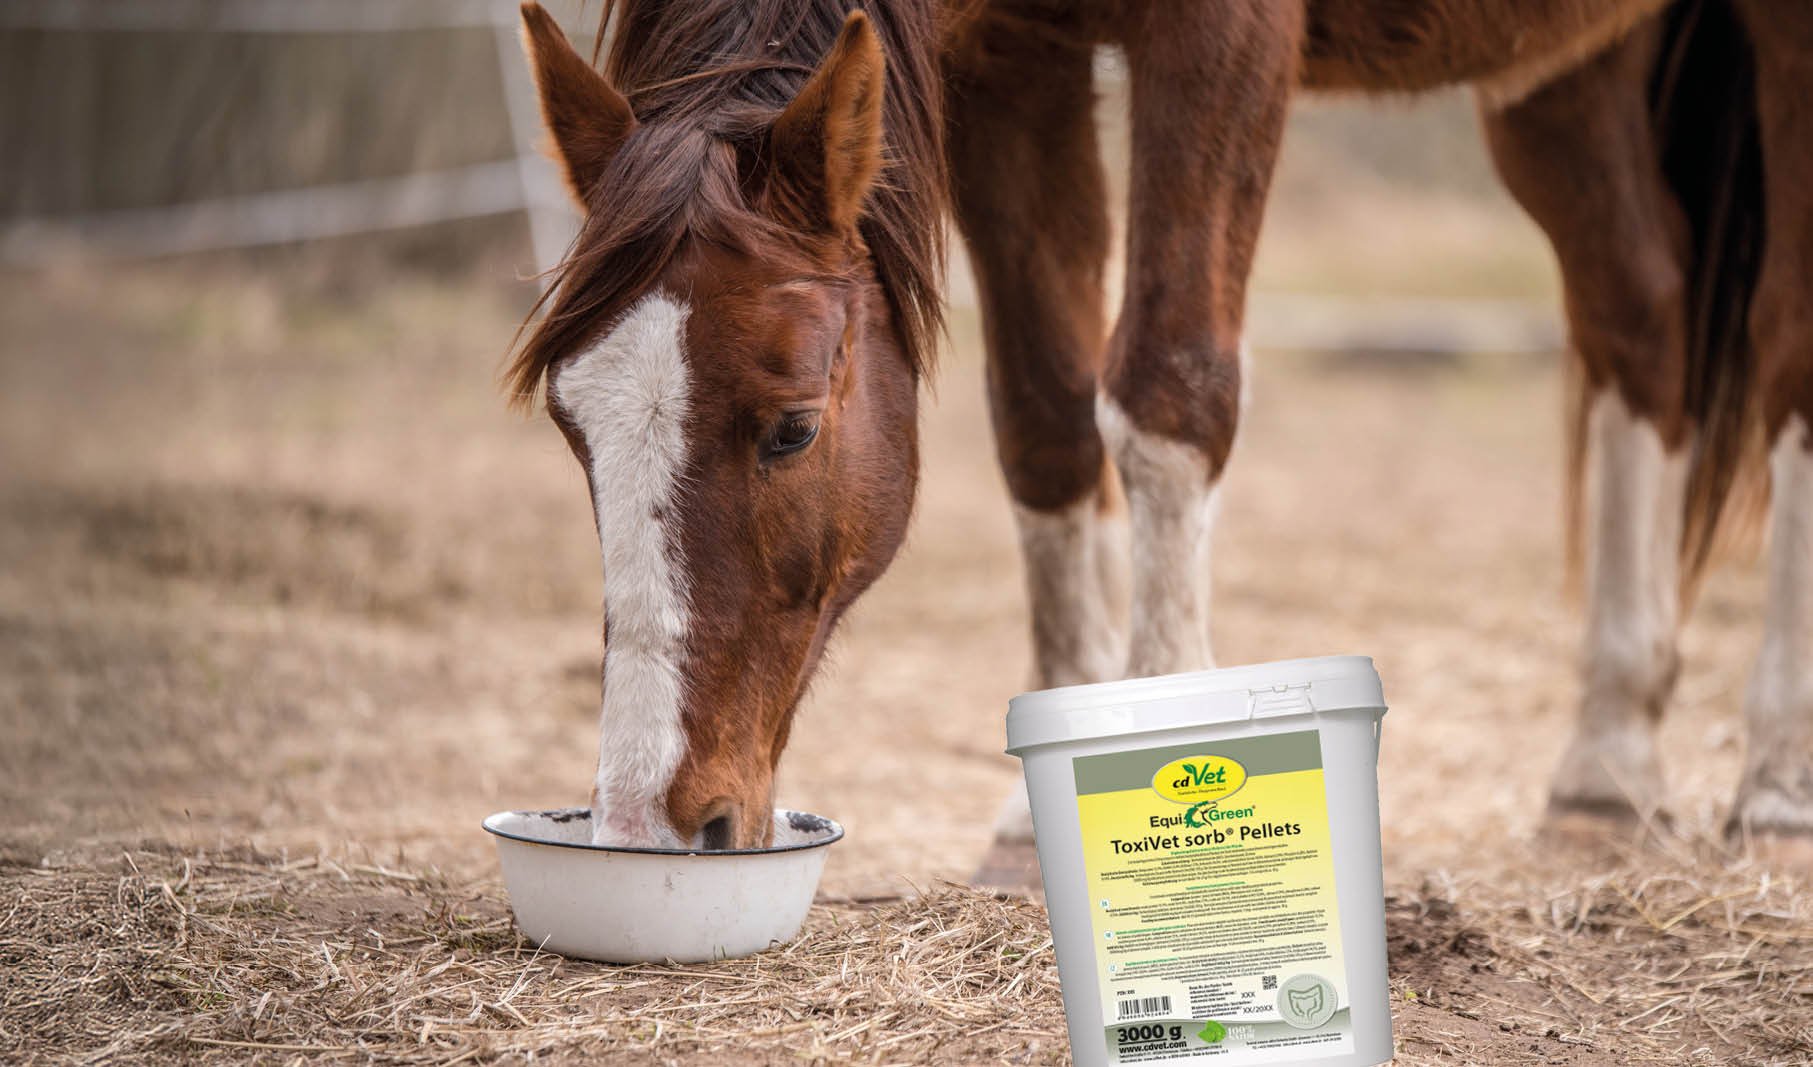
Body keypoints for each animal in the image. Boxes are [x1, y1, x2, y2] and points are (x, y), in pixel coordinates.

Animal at [509, 0, 1813, 877]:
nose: (650, 823)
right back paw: (1607, 761)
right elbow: (1044, 410)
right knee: (1637, 313)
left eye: (791, 430)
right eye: (572, 426)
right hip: (1558, 75)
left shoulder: (1220, 37)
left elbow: (1167, 389)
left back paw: (1776, 777)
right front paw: (1037, 811)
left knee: (1781, 343)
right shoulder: (1007, 64)